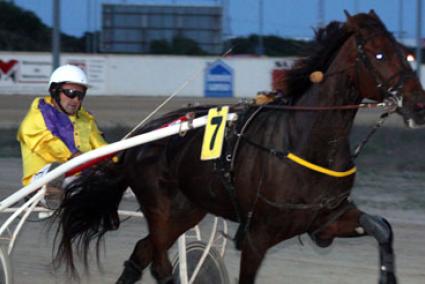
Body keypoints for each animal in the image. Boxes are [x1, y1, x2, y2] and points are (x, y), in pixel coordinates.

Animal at [53, 10, 424, 282]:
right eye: (379, 54)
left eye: (406, 53)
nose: (418, 105)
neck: (307, 140)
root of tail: (142, 138)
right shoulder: (258, 235)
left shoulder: (327, 219)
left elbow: (384, 229)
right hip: (158, 205)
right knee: (158, 263)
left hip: (187, 209)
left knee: (141, 254)